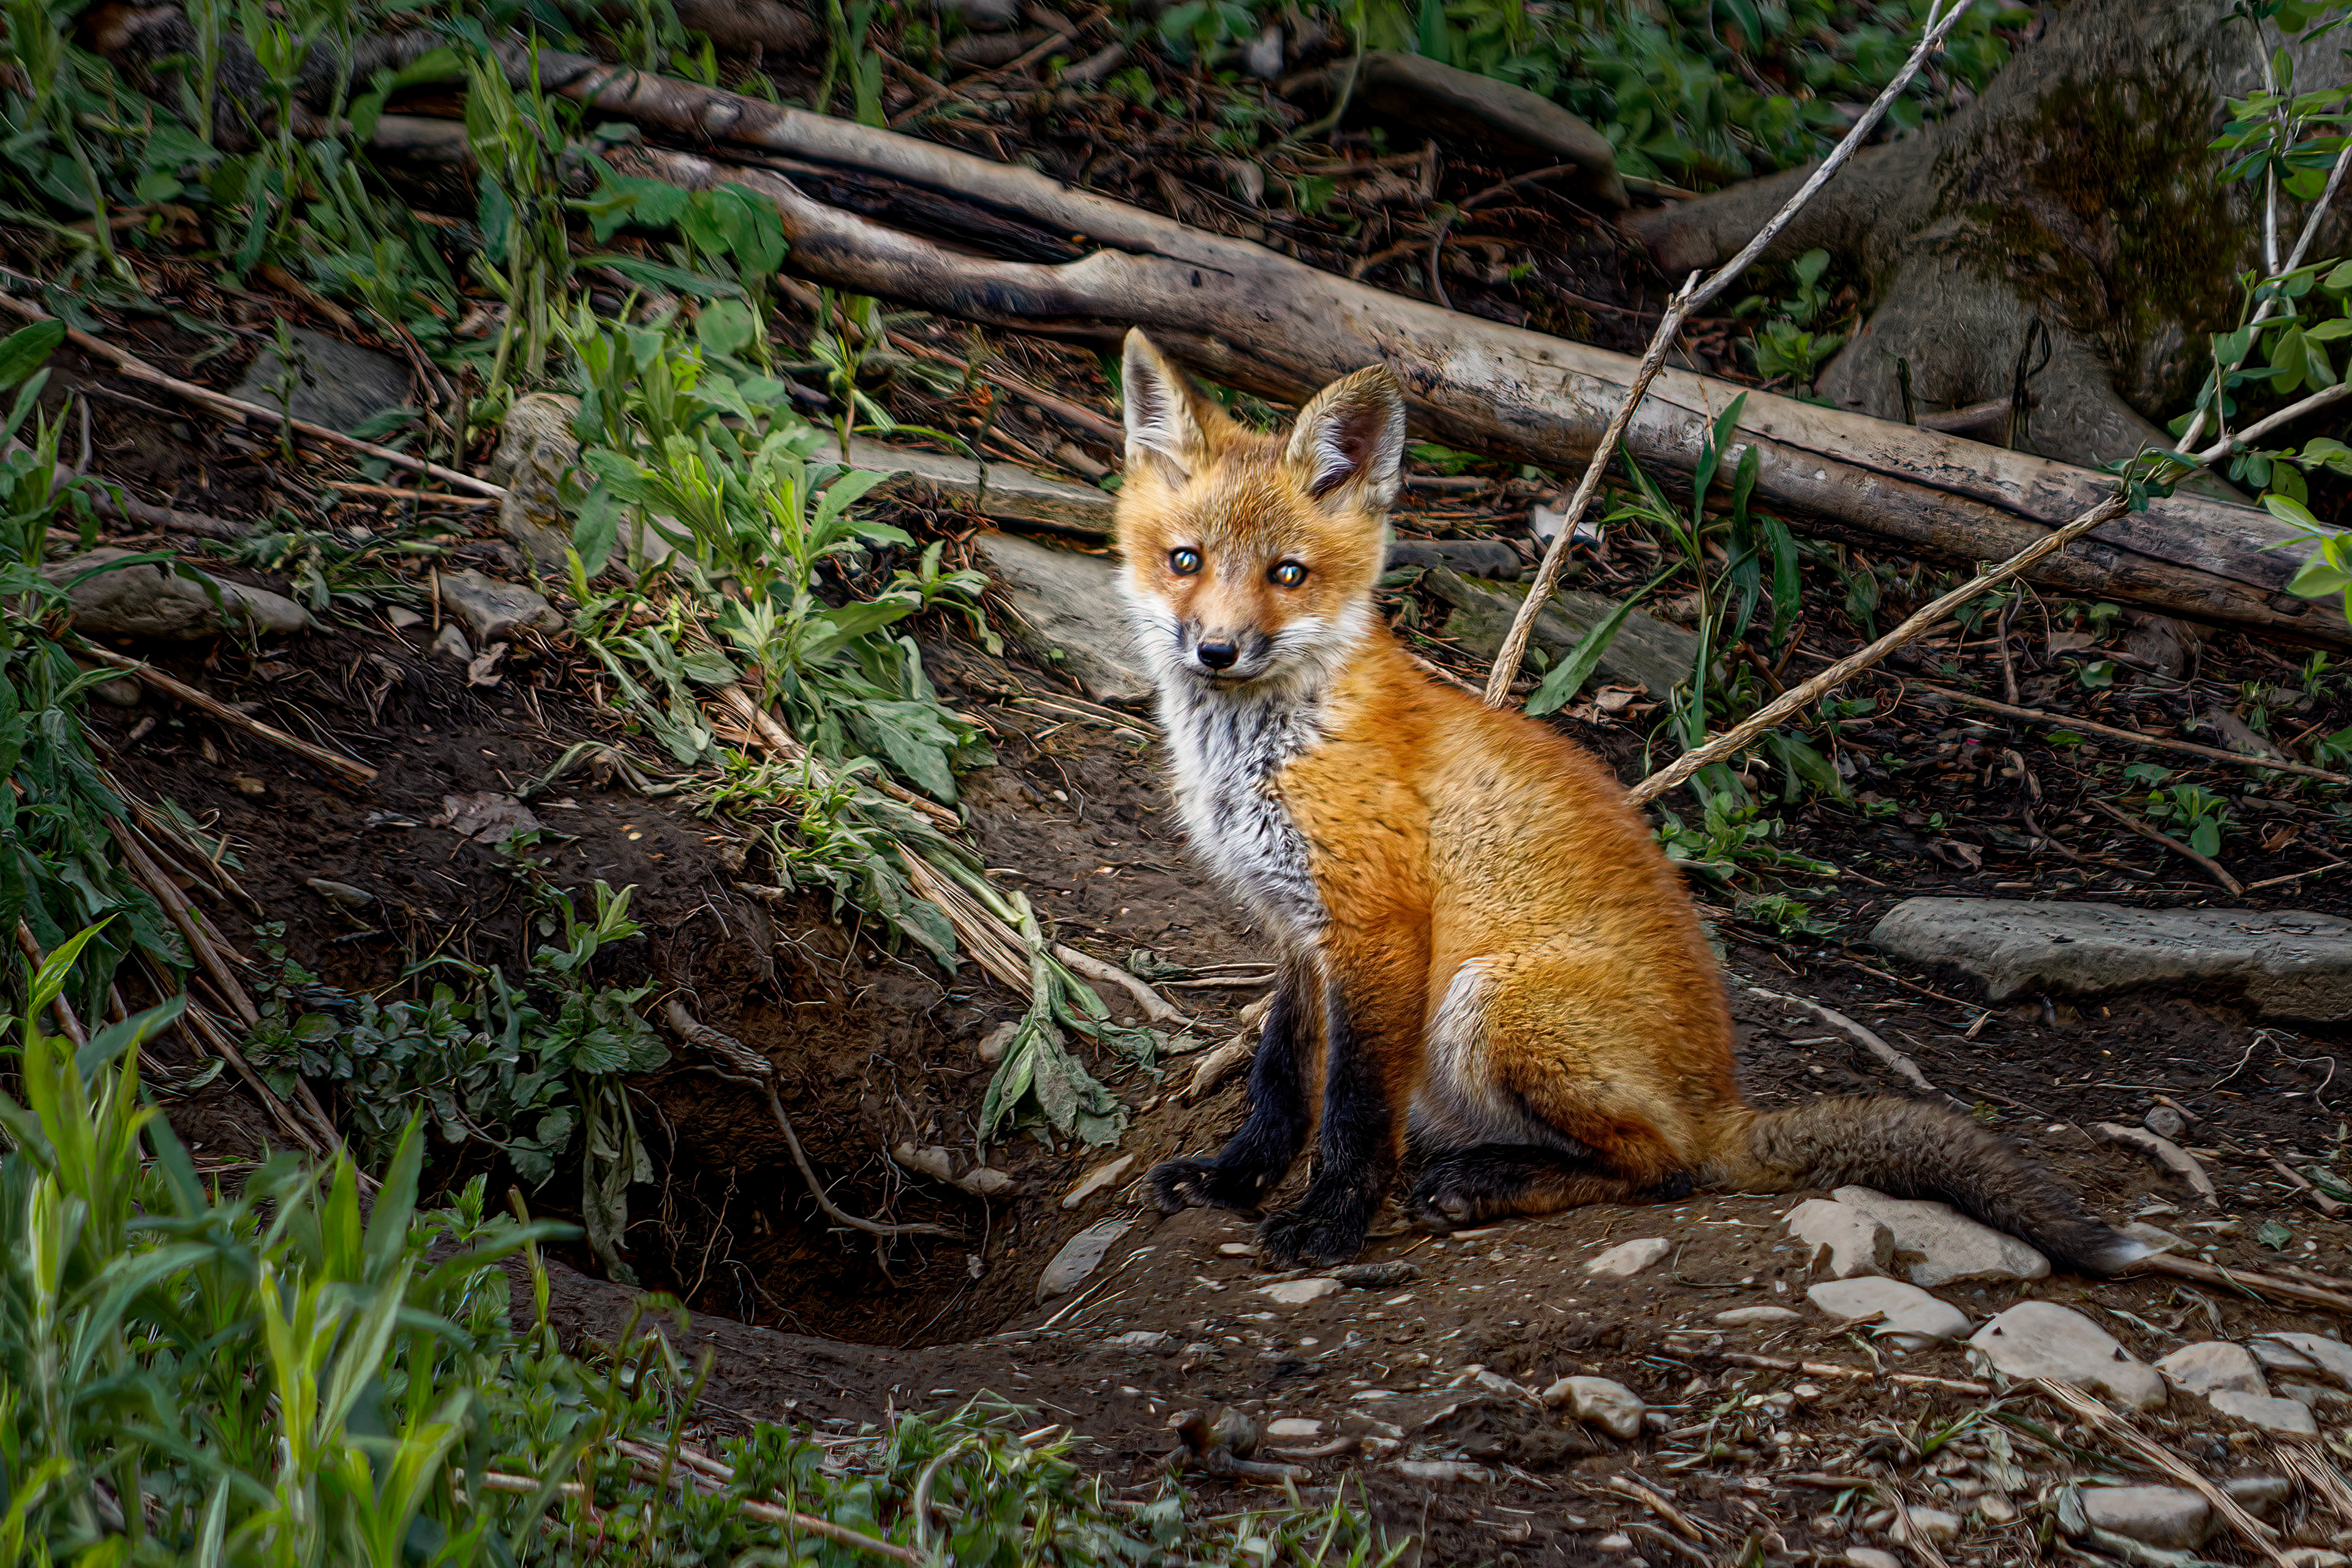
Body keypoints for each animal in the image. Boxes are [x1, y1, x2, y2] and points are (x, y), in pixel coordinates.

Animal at [1111, 328, 2148, 1274]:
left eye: (1287, 575)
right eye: (1186, 560)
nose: (1217, 651)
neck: (1267, 747)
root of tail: (1722, 1101)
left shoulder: (1377, 930)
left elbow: (1355, 1115)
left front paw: (1329, 1226)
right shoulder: (1298, 934)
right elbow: (1281, 1085)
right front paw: (1232, 1181)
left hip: (1490, 1001)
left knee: (1667, 1168)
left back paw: (1485, 1182)